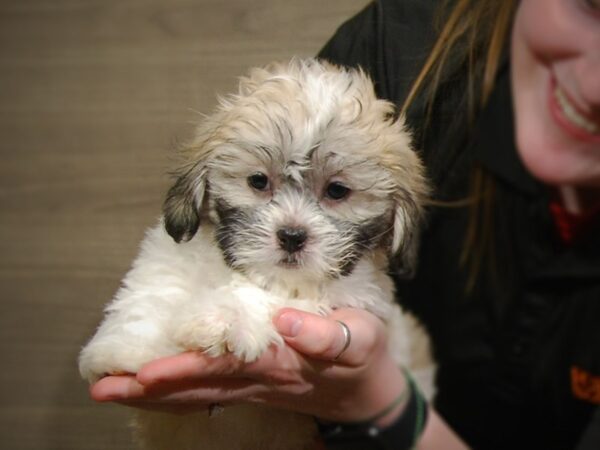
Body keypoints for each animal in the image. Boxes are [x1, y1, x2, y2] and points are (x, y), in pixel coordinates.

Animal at [81, 59, 436, 450]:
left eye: (337, 191)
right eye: (258, 181)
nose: (292, 236)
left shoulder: (350, 293)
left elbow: (265, 296)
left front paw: (220, 319)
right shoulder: (168, 256)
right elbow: (153, 290)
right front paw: (124, 347)